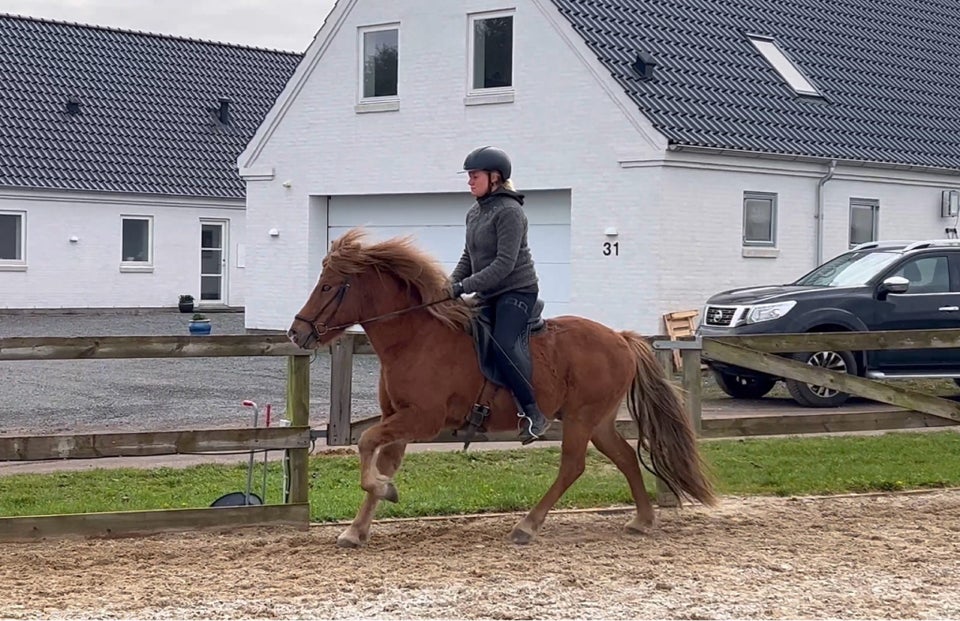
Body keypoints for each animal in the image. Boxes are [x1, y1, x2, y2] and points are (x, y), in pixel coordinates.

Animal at [288, 230, 716, 544]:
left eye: (328, 286)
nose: (296, 332)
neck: (415, 337)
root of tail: (620, 338)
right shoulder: (399, 418)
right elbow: (381, 459)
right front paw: (358, 526)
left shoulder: (423, 419)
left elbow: (364, 444)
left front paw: (383, 491)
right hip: (599, 421)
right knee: (625, 458)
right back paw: (642, 520)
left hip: (581, 419)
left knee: (572, 466)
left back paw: (527, 525)